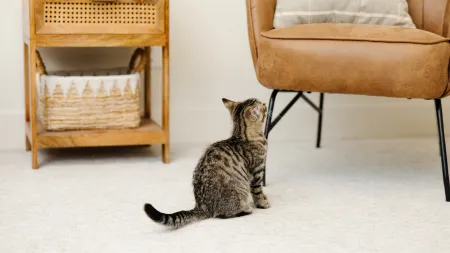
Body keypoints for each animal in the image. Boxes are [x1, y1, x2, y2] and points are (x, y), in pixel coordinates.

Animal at [144, 98, 268, 228]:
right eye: (263, 107)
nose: (265, 102)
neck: (242, 136)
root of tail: (201, 206)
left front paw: (265, 198)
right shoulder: (257, 171)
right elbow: (257, 191)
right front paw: (263, 203)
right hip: (237, 194)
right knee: (221, 214)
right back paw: (246, 210)